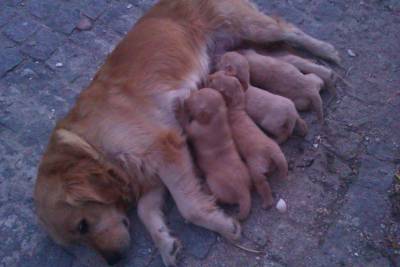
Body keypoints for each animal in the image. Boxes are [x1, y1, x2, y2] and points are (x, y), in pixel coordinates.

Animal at [175, 89, 250, 221]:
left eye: (194, 99)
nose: (186, 99)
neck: (217, 119)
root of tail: (243, 191)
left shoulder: (196, 129)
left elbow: (186, 127)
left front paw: (180, 111)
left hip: (215, 183)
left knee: (217, 197)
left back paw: (205, 187)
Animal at [208, 71, 290, 209]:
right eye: (219, 73)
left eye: (213, 82)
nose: (209, 76)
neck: (235, 108)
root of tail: (272, 153)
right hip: (278, 155)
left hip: (256, 168)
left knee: (263, 185)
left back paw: (267, 203)